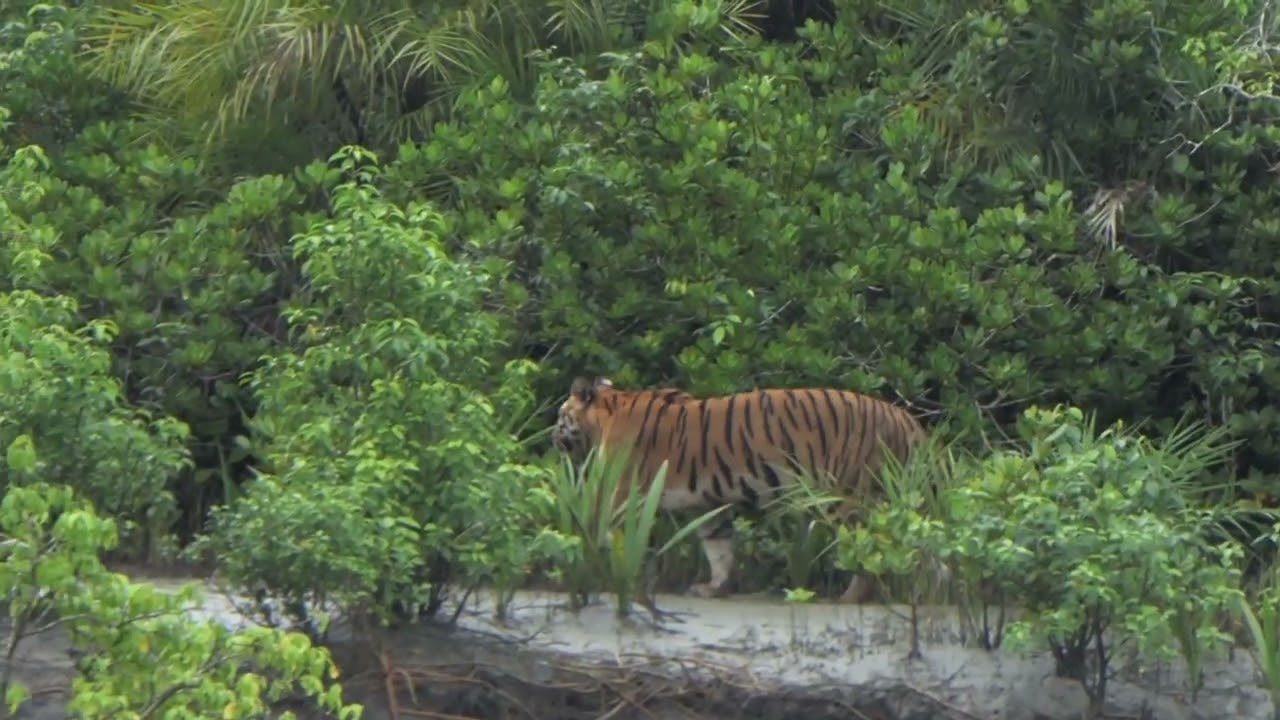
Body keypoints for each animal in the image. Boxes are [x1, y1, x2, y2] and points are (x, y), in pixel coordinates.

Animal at [550, 375, 928, 602]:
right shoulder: (705, 506)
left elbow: (597, 532)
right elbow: (719, 549)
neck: (610, 410)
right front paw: (713, 587)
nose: (552, 435)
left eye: (560, 415)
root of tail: (903, 417)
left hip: (844, 496)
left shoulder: (619, 494)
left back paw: (851, 596)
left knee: (869, 546)